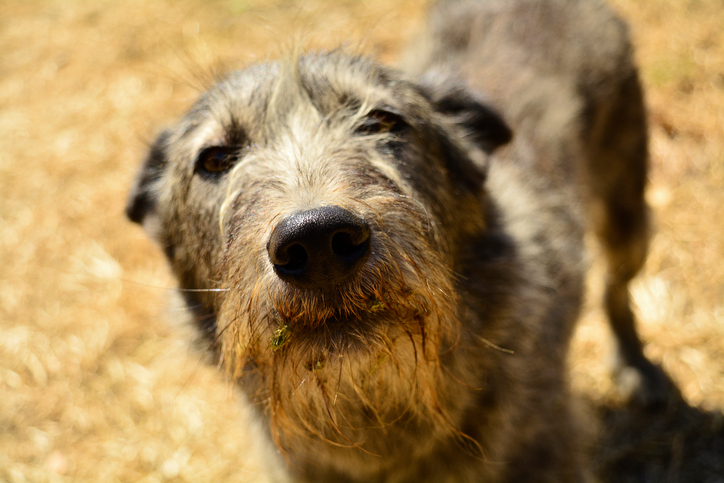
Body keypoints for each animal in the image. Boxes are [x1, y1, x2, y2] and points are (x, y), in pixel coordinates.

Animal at [129, 0, 668, 480]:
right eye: (215, 159)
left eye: (382, 121)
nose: (317, 240)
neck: (377, 409)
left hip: (629, 215)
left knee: (617, 287)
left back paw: (635, 367)